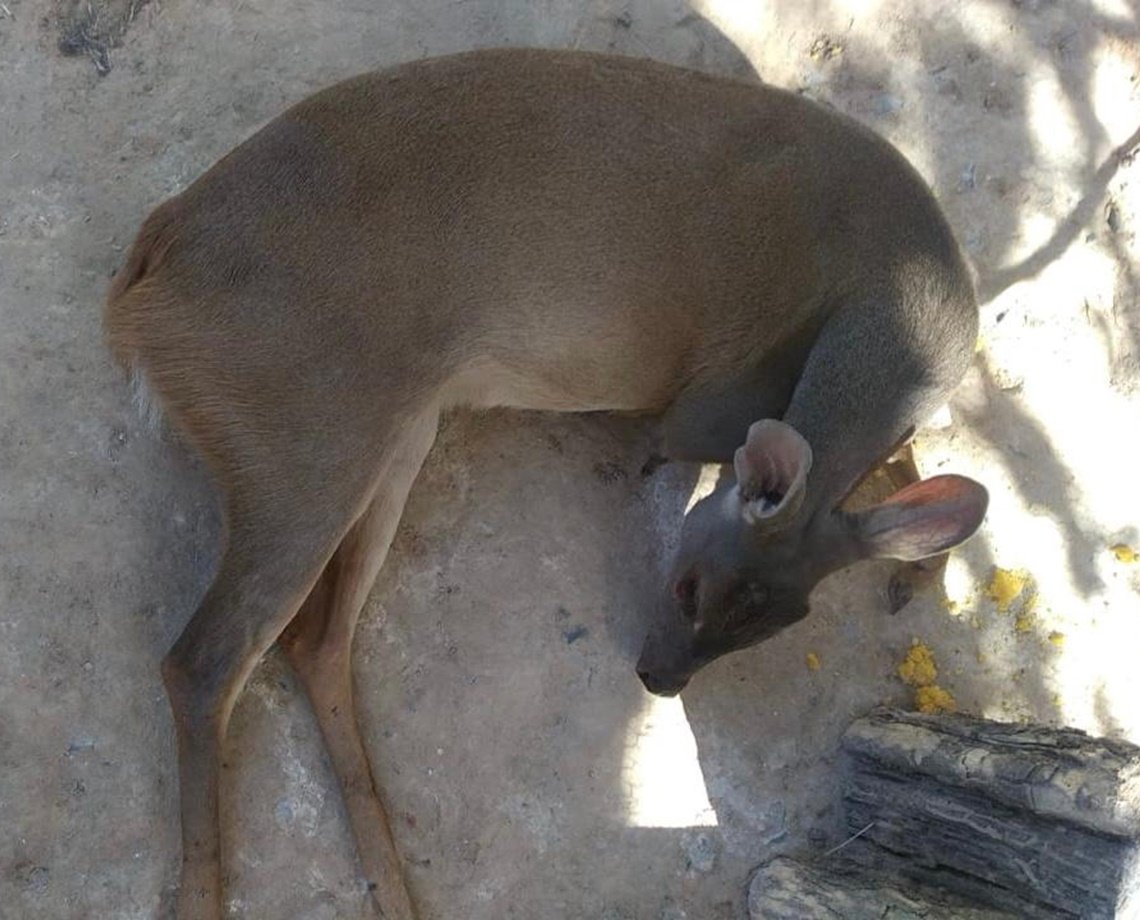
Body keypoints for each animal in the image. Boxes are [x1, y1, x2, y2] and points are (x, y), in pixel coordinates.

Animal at [107, 50, 989, 920]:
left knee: (313, 643)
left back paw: (394, 887)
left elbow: (898, 468)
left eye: (780, 625)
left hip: (391, 431)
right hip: (306, 440)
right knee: (202, 661)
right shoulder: (696, 412)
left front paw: (919, 573)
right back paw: (212, 896)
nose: (660, 680)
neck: (897, 307)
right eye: (687, 583)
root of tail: (152, 259)